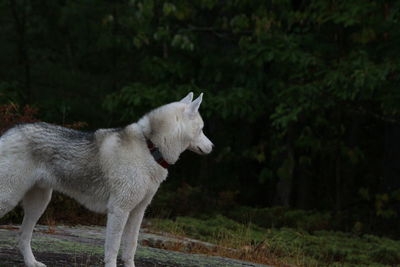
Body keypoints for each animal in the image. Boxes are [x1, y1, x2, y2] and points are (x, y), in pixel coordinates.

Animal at [0, 92, 212, 267]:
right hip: (11, 198)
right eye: (202, 129)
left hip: (39, 203)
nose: (213, 146)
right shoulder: (119, 210)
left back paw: (32, 263)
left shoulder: (137, 212)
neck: (150, 148)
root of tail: (8, 132)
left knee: (22, 236)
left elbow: (130, 248)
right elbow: (113, 249)